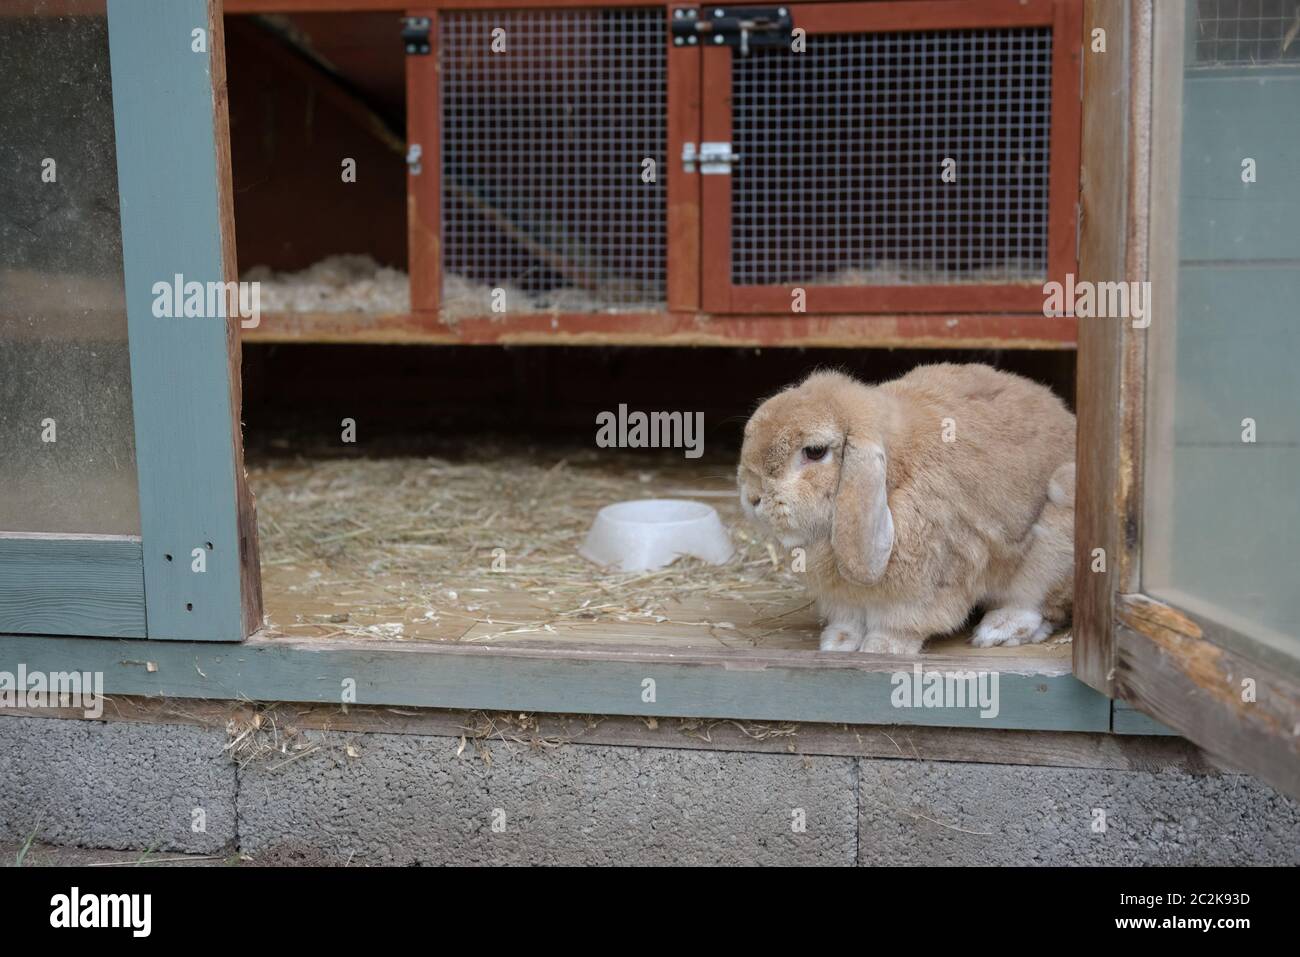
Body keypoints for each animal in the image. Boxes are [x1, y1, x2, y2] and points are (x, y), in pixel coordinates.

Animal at [743, 361, 1076, 655]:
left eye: (814, 452)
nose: (753, 497)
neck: (894, 479)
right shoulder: (845, 600)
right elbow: (849, 619)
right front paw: (838, 643)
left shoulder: (929, 584)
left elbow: (900, 623)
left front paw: (881, 648)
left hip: (1052, 545)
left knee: (1040, 605)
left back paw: (998, 630)